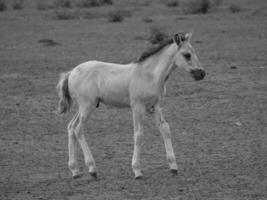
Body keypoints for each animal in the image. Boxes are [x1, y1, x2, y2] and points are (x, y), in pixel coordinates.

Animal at [57, 32, 207, 179]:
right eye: (187, 55)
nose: (202, 73)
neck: (150, 75)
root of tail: (71, 72)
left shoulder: (154, 106)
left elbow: (165, 129)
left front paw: (173, 167)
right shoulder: (137, 107)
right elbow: (138, 135)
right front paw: (137, 170)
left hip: (83, 107)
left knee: (71, 127)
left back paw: (75, 170)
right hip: (87, 106)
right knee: (78, 130)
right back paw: (92, 169)